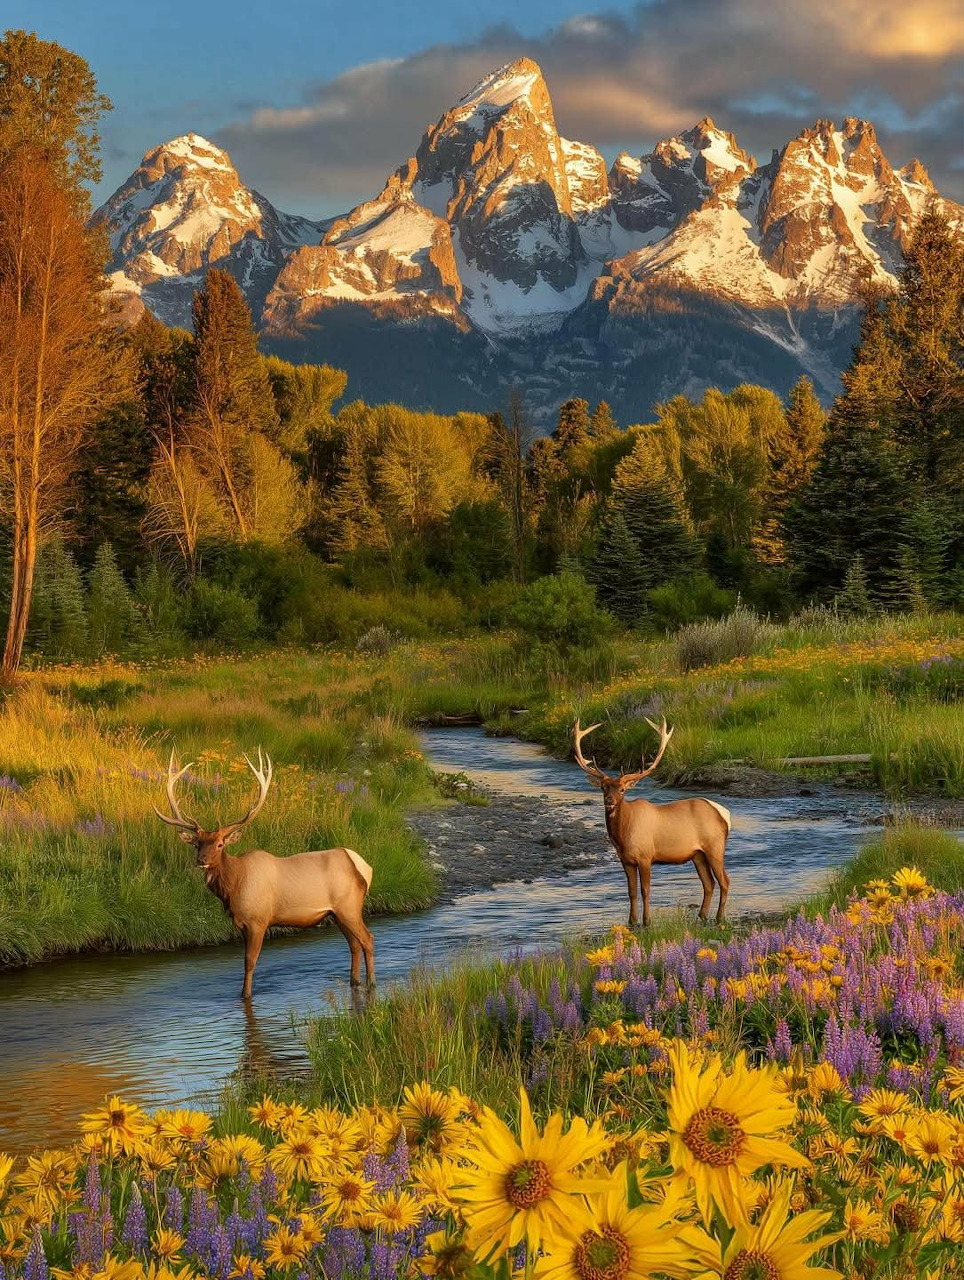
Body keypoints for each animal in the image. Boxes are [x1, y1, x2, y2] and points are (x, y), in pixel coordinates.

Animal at [153, 750, 375, 998]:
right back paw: (355, 981)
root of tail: (364, 867)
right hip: (337, 913)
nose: (201, 860)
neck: (234, 885)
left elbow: (250, 961)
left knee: (368, 939)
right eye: (197, 844)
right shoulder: (241, 924)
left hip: (349, 906)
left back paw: (372, 983)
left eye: (220, 844)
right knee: (354, 945)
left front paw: (245, 995)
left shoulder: (258, 920)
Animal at [573, 718, 732, 928]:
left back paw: (719, 918)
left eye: (622, 789)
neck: (622, 836)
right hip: (698, 854)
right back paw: (702, 916)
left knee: (724, 881)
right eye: (603, 788)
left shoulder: (645, 857)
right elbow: (631, 892)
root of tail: (725, 814)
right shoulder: (626, 860)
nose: (609, 801)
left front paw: (647, 921)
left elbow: (645, 890)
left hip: (715, 847)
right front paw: (632, 921)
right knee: (709, 883)